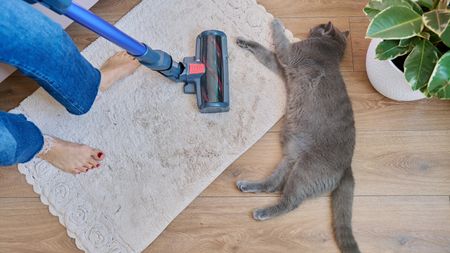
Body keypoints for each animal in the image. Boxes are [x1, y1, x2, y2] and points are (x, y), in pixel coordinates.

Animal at [236, 19, 358, 253]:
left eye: (320, 25)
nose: (314, 26)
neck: (332, 49)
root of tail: (347, 167)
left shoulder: (290, 54)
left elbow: (279, 40)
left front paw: (276, 22)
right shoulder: (281, 65)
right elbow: (264, 52)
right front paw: (244, 42)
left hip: (304, 171)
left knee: (291, 202)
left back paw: (261, 212)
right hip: (290, 159)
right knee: (273, 185)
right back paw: (247, 186)